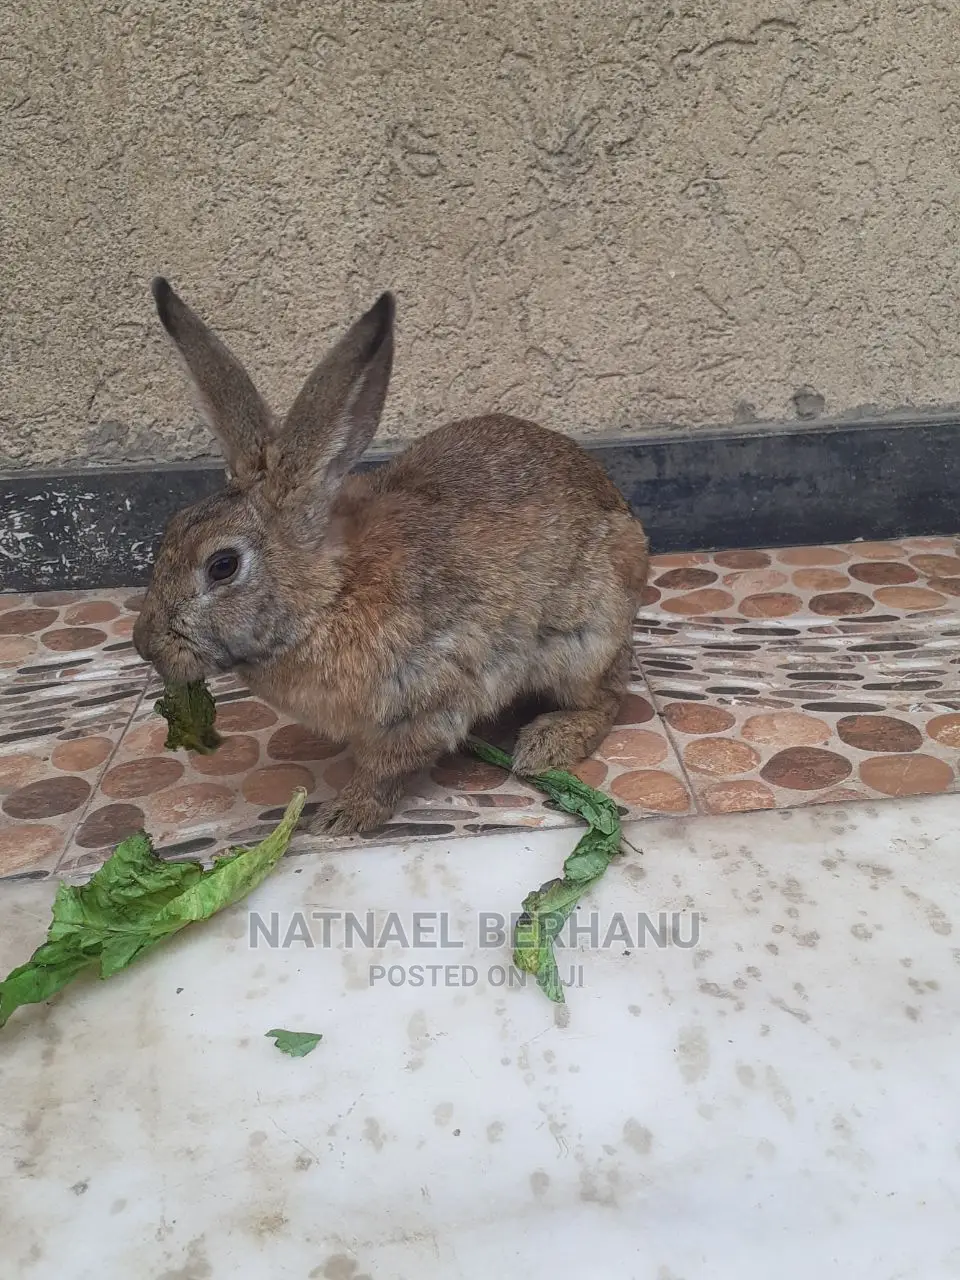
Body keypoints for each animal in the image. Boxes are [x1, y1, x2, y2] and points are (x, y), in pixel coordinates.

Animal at [132, 279, 650, 835]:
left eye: (222, 565)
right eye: (172, 526)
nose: (145, 646)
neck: (330, 594)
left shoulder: (427, 697)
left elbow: (388, 767)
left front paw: (342, 816)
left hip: (586, 640)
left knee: (607, 699)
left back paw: (546, 743)